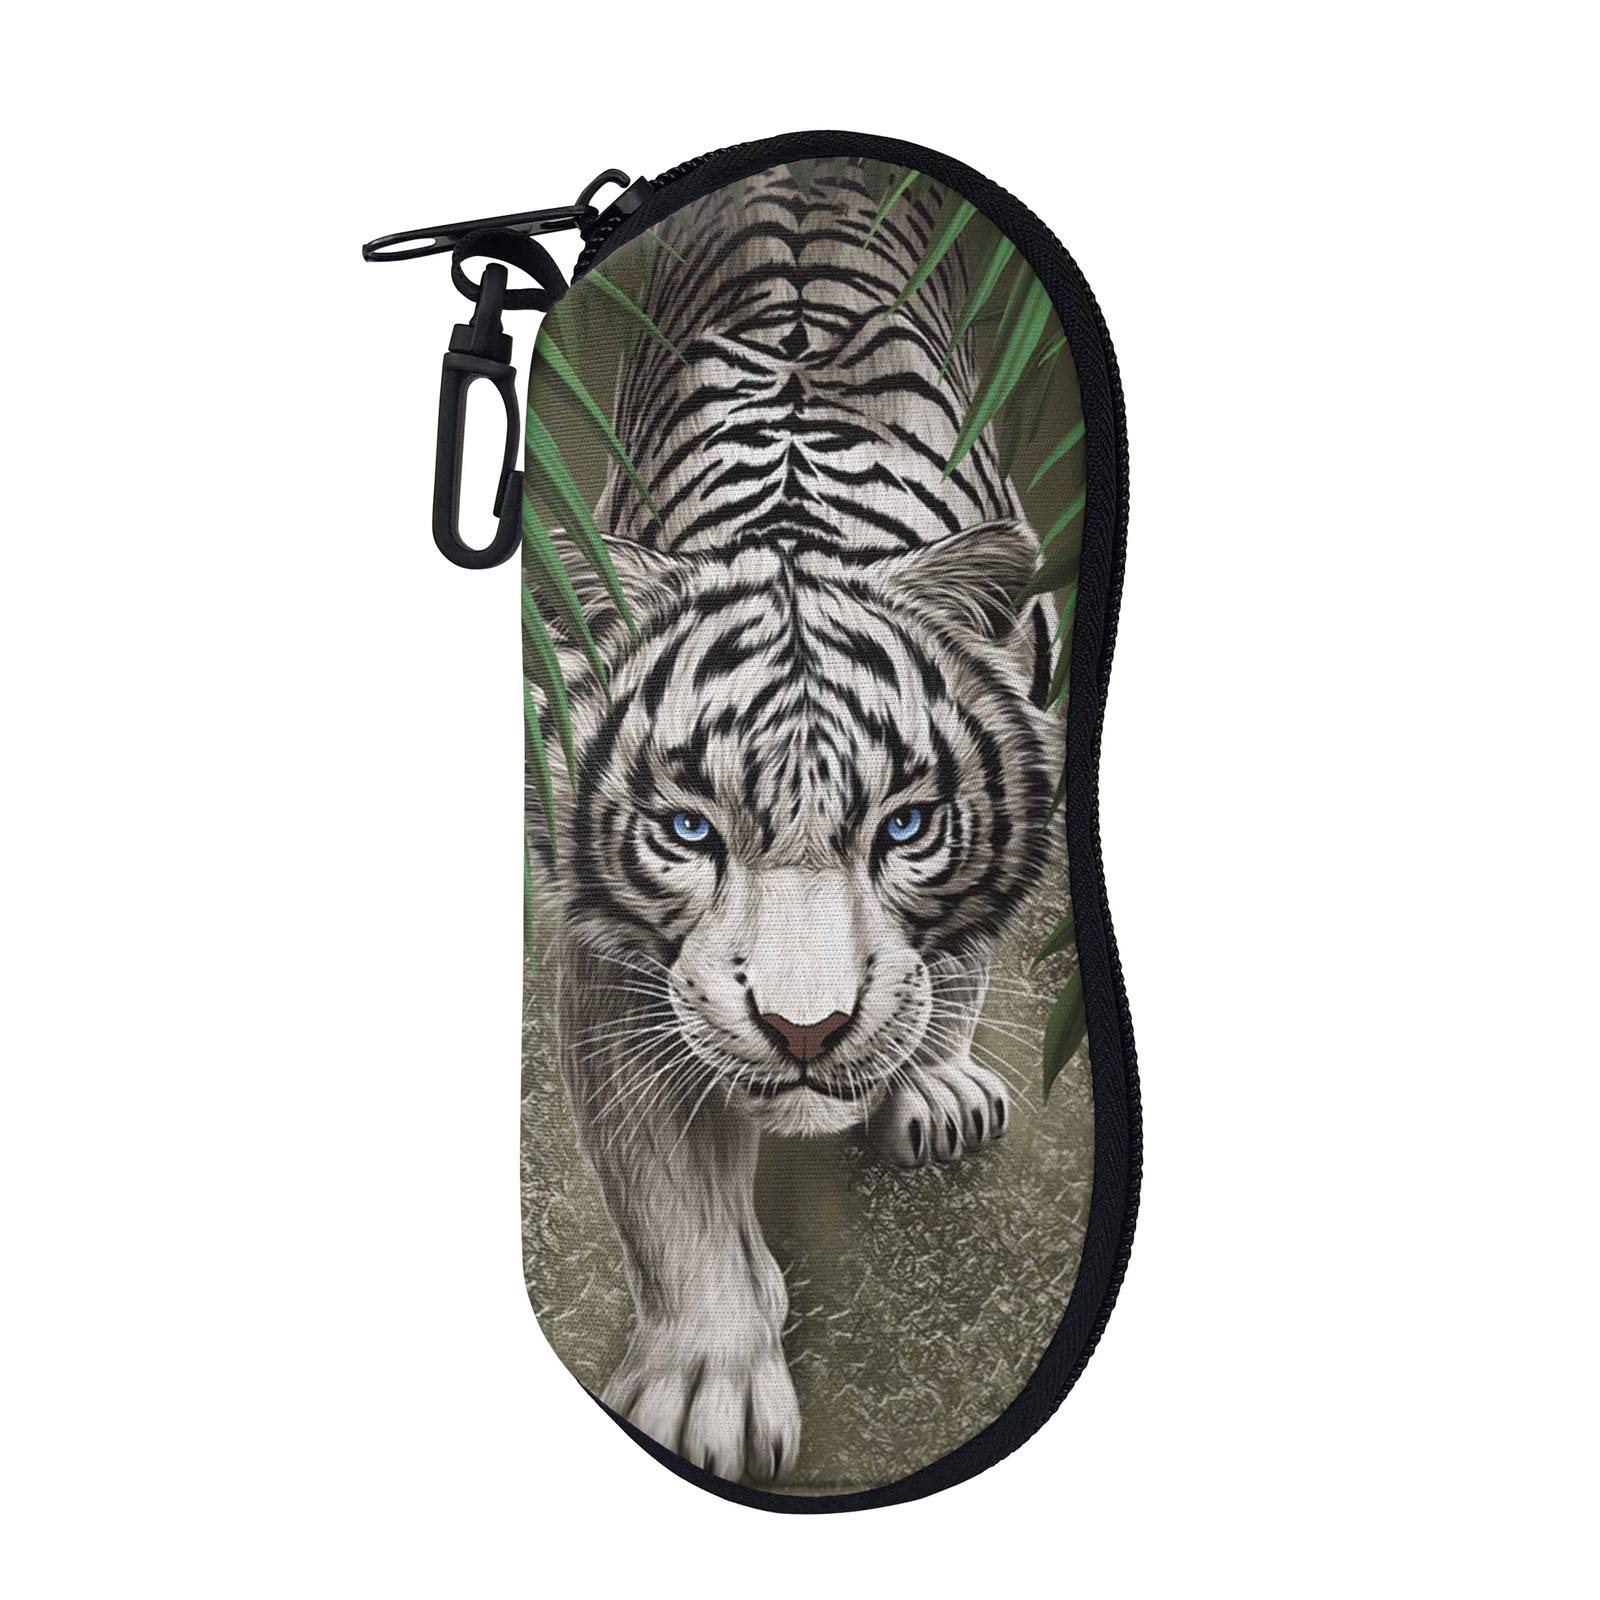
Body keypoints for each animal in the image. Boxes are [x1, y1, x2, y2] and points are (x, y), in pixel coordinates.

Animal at [527, 162, 1064, 1484]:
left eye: (907, 827)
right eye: (687, 832)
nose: (807, 1030)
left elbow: (956, 959)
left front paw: (932, 1083)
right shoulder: (613, 965)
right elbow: (669, 1194)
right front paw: (706, 1387)